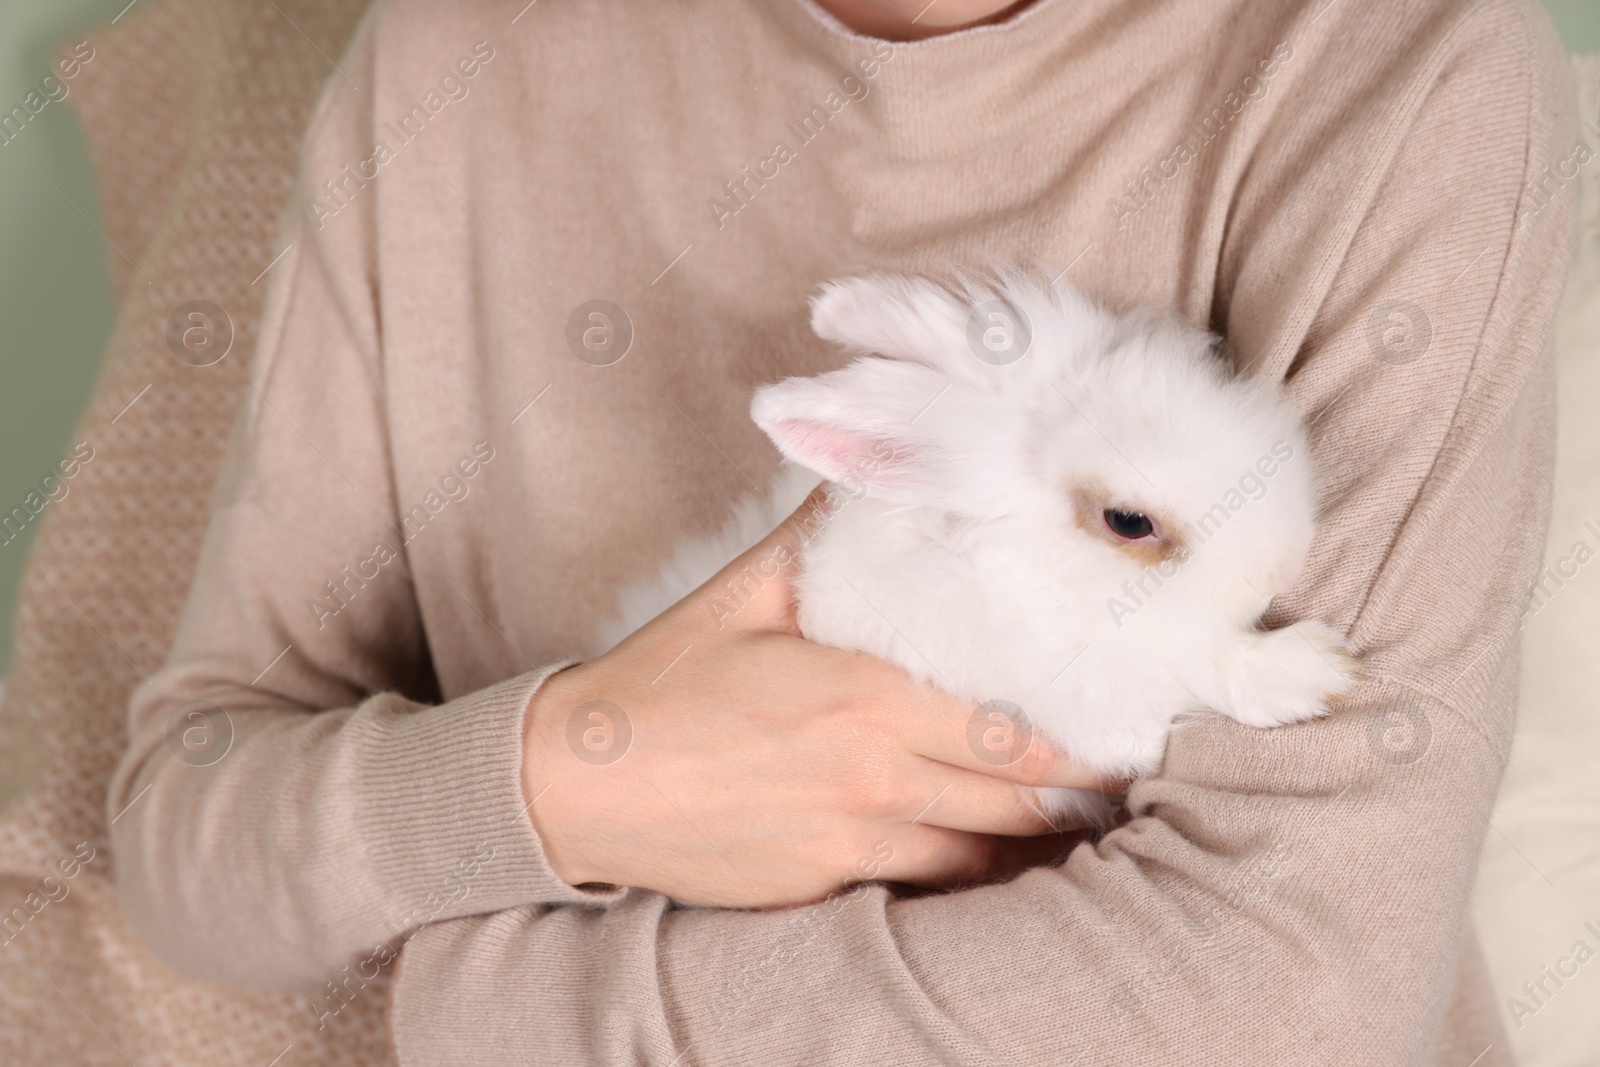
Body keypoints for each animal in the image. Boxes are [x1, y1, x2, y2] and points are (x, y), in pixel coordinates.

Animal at [595, 271, 1356, 825]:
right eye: (1128, 522)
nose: (1280, 565)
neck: (1029, 577)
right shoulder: (1097, 697)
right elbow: (1205, 670)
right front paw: (1315, 672)